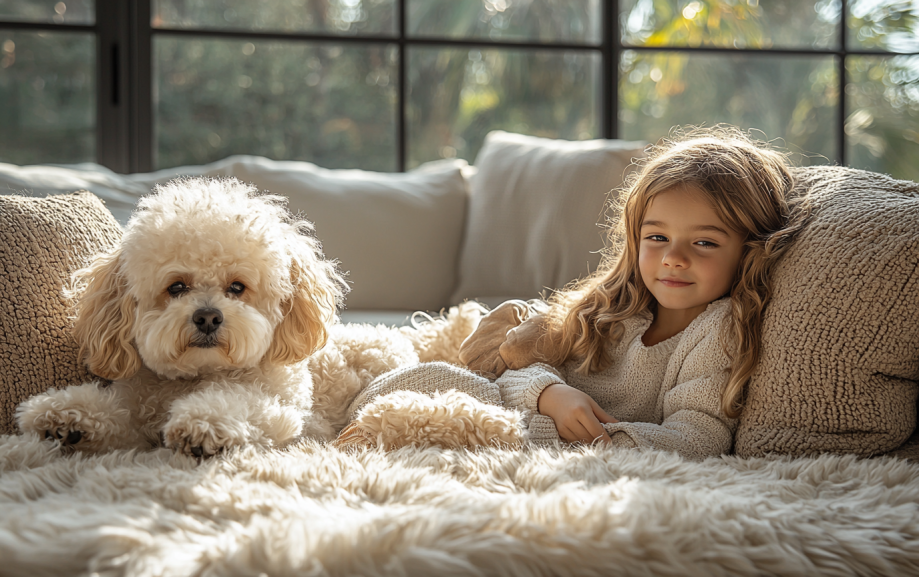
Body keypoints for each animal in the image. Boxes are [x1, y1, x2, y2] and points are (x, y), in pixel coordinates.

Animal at [16, 178, 488, 456]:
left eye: (237, 287)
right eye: (177, 287)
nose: (208, 318)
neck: (200, 377)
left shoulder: (286, 416)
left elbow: (241, 405)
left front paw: (204, 425)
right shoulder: (136, 410)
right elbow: (117, 415)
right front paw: (66, 416)